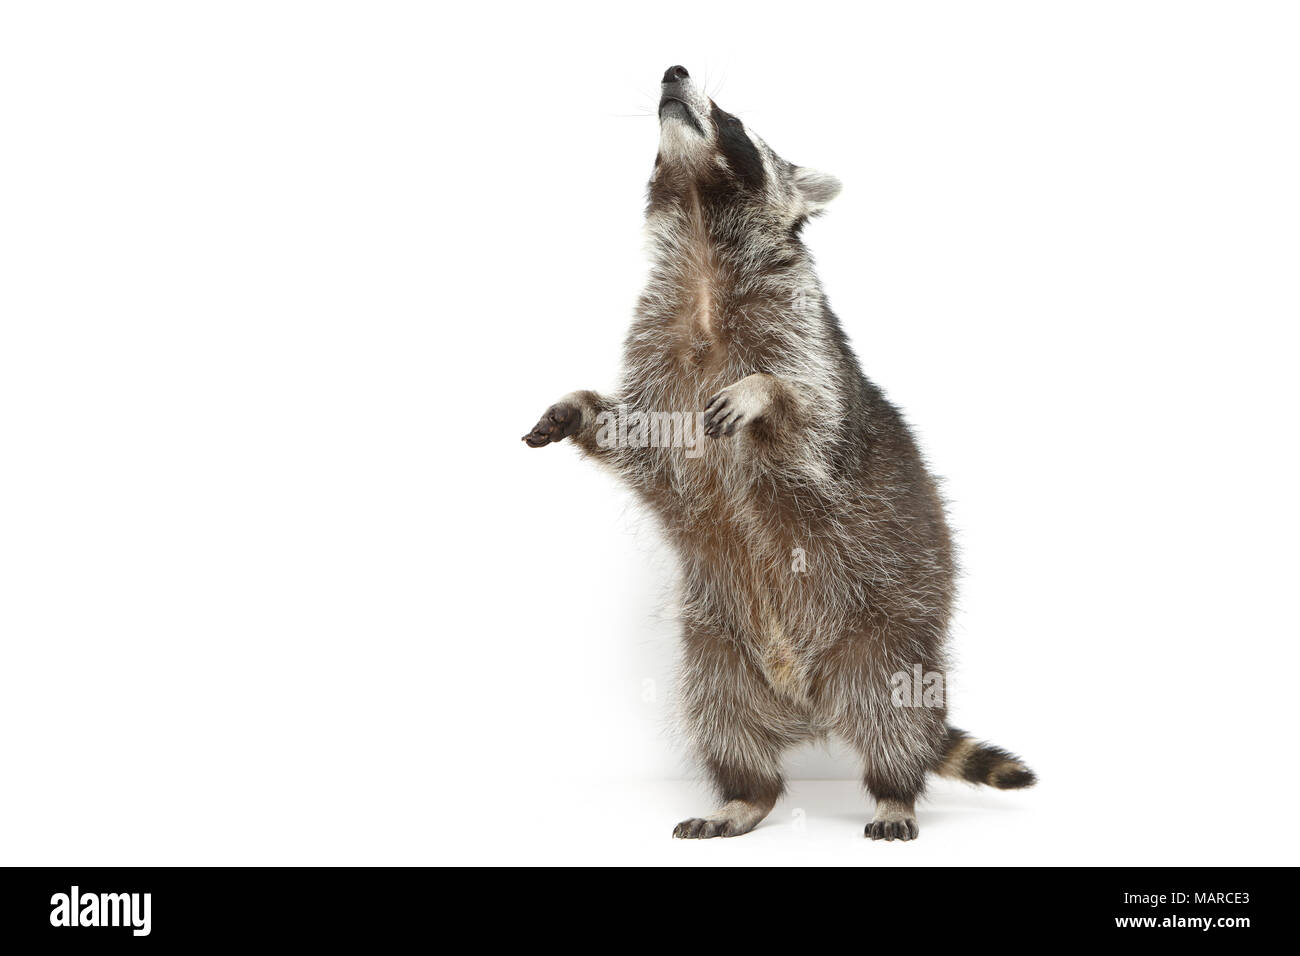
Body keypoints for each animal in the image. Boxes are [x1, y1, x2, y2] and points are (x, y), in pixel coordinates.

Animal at [523, 66, 1034, 840]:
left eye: (732, 118)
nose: (674, 71)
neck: (703, 239)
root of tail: (811, 705)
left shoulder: (804, 336)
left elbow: (813, 420)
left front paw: (765, 395)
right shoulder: (657, 346)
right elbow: (643, 444)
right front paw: (581, 408)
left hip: (888, 637)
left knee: (895, 716)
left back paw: (893, 789)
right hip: (715, 647)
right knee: (722, 718)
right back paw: (745, 793)